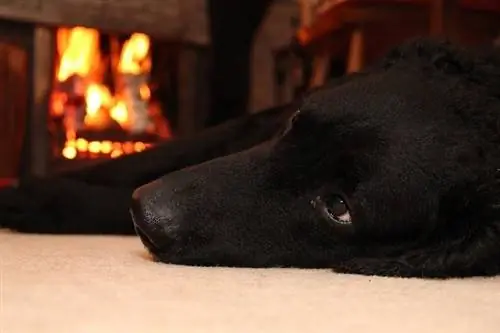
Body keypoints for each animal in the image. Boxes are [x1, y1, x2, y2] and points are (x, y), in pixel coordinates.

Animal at [0, 38, 500, 278]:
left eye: (338, 207)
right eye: (296, 123)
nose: (146, 213)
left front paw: (42, 201)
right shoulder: (248, 126)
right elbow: (142, 159)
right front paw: (34, 186)